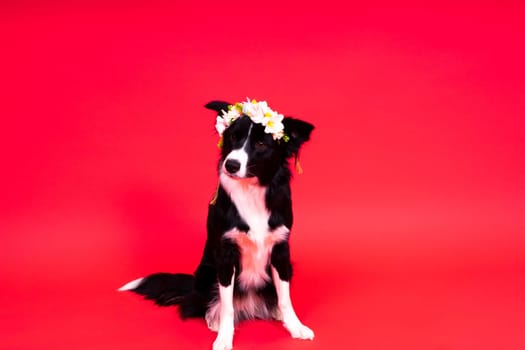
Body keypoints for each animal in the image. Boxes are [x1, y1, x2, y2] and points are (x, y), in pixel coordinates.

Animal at [118, 99, 314, 350]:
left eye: (261, 144)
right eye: (233, 137)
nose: (231, 165)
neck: (251, 192)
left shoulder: (281, 249)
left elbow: (286, 297)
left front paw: (295, 326)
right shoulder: (225, 255)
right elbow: (228, 306)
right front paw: (224, 336)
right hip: (207, 273)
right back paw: (213, 318)